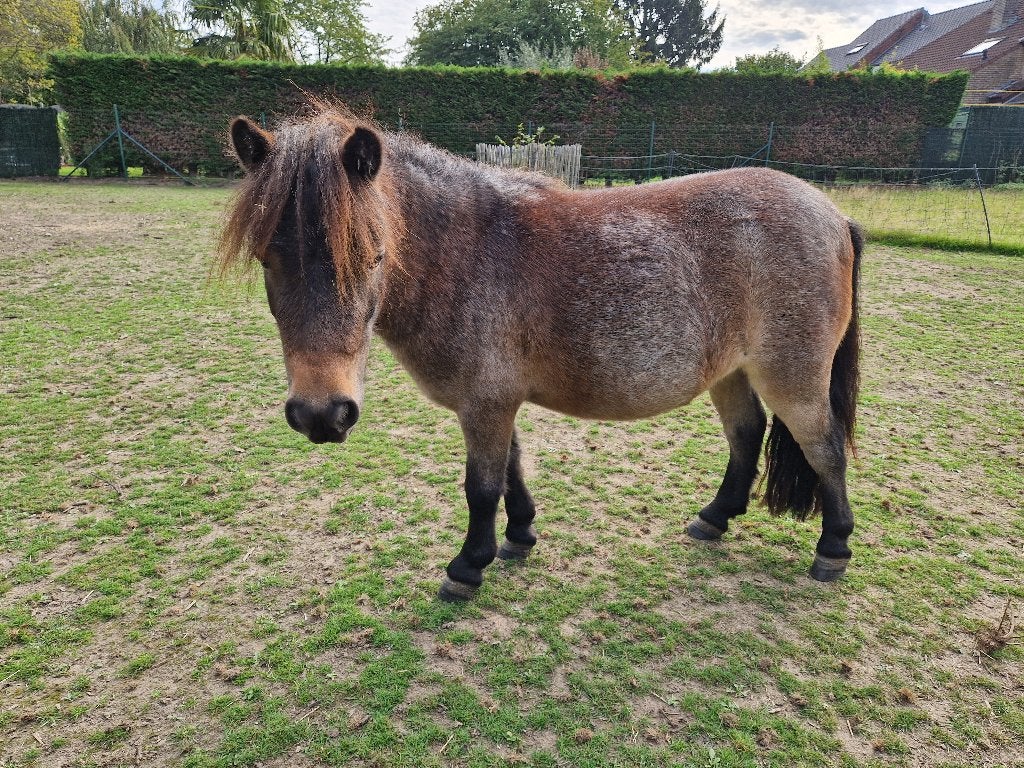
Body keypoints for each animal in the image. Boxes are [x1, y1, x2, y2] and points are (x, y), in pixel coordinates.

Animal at [221, 107, 862, 602]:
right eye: (266, 256)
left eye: (373, 254)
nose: (321, 414)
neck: (469, 254)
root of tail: (832, 215)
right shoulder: (494, 401)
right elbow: (511, 469)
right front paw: (518, 538)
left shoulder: (485, 404)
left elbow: (481, 486)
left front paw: (467, 567)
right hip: (729, 371)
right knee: (747, 434)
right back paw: (715, 518)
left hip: (792, 376)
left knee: (824, 446)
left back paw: (833, 547)